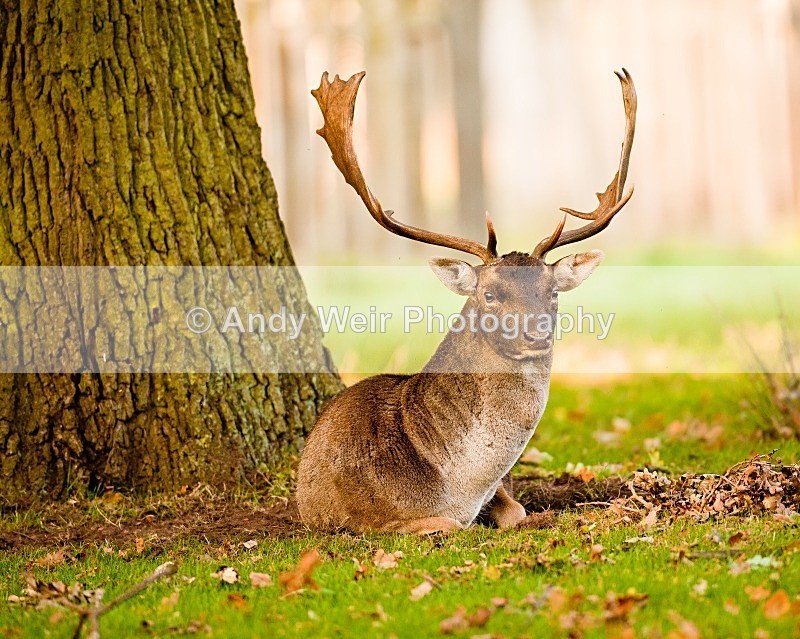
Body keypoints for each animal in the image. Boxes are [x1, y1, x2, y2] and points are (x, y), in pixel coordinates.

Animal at [296, 69, 636, 534]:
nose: (537, 334)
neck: (457, 486)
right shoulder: (371, 521)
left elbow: (517, 511)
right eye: (489, 294)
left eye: (552, 291)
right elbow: (451, 525)